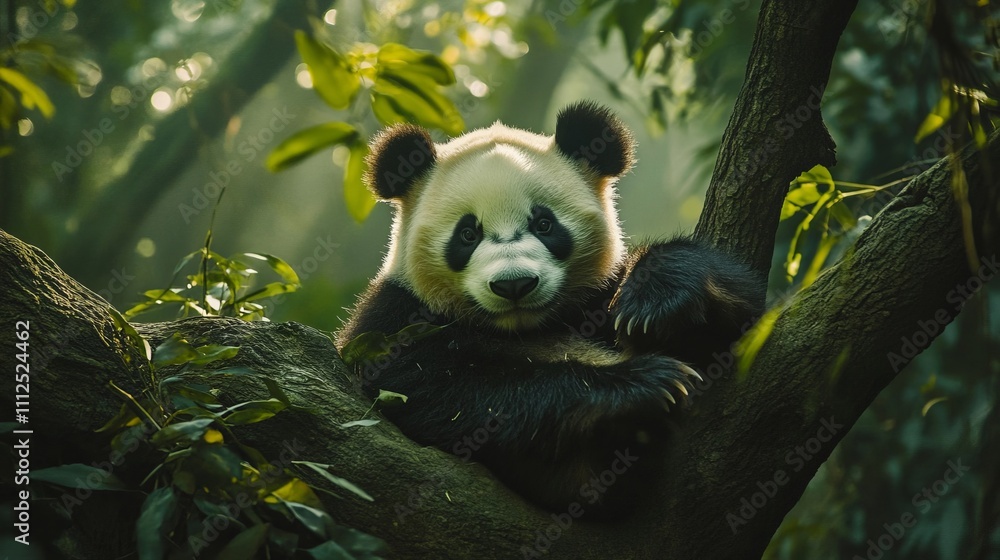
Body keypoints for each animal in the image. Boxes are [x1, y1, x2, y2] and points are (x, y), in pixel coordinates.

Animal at [336, 101, 763, 518]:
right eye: (467, 234)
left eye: (544, 224)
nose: (514, 284)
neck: (525, 326)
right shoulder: (394, 315)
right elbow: (432, 385)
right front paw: (645, 383)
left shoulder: (597, 297)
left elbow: (743, 317)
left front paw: (657, 302)